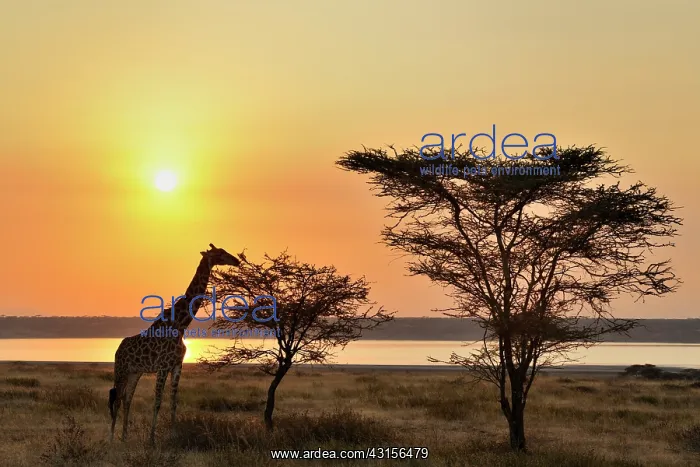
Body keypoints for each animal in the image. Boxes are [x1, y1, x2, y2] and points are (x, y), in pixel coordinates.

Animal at [109, 243, 240, 443]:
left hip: (135, 372)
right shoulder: (163, 367)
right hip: (121, 370)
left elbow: (173, 402)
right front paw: (152, 439)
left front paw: (173, 434)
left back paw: (124, 437)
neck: (181, 325)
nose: (237, 260)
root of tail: (117, 350)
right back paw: (110, 439)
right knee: (116, 399)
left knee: (127, 399)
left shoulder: (177, 365)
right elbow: (157, 401)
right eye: (220, 253)